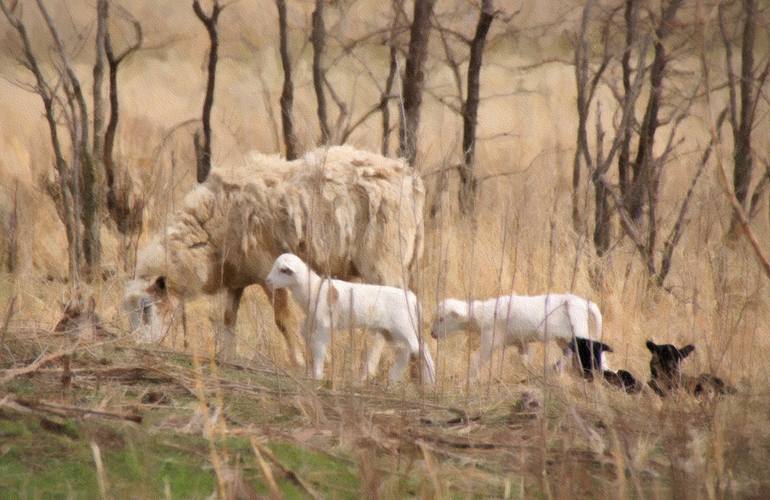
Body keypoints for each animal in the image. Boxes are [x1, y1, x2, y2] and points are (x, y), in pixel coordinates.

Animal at [126, 144, 426, 364]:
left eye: (147, 308)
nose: (138, 346)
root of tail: (408, 177)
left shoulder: (268, 272)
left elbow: (283, 321)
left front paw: (300, 362)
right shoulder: (236, 278)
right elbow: (227, 319)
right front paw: (227, 357)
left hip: (384, 260)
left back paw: (367, 370)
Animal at [264, 252, 436, 384]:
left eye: (282, 270)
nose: (268, 281)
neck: (313, 289)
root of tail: (413, 299)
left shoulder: (325, 325)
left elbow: (319, 348)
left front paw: (317, 375)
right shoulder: (311, 323)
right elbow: (307, 337)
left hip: (404, 328)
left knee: (421, 349)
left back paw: (430, 381)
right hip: (391, 333)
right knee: (405, 351)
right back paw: (393, 378)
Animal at [428, 292, 604, 378]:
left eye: (441, 319)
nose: (432, 334)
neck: (480, 314)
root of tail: (585, 303)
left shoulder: (490, 341)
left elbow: (476, 360)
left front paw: (469, 381)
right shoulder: (521, 342)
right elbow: (524, 360)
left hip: (578, 332)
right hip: (564, 339)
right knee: (569, 353)